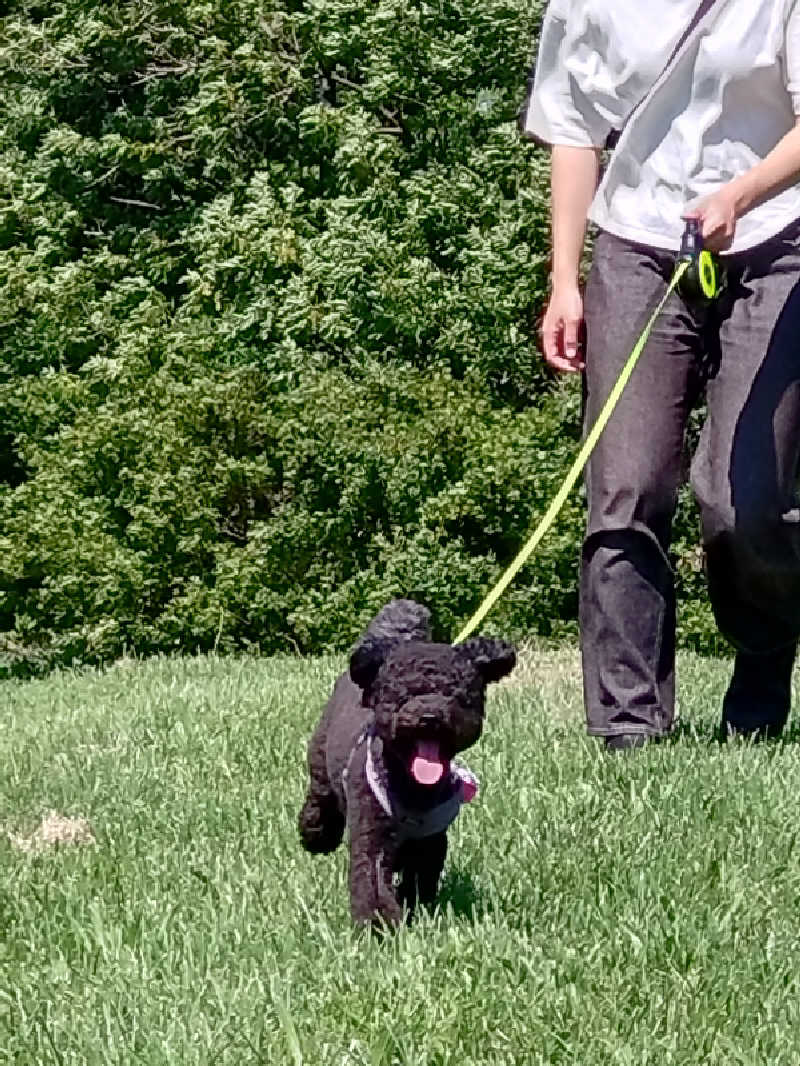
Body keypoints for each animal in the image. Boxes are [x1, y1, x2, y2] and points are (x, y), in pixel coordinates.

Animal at [298, 601, 516, 925]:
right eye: (403, 694)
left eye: (454, 695)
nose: (429, 717)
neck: (412, 786)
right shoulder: (372, 834)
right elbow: (372, 882)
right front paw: (379, 925)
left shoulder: (430, 842)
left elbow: (420, 877)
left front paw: (414, 909)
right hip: (320, 758)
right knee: (320, 796)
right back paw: (316, 833)